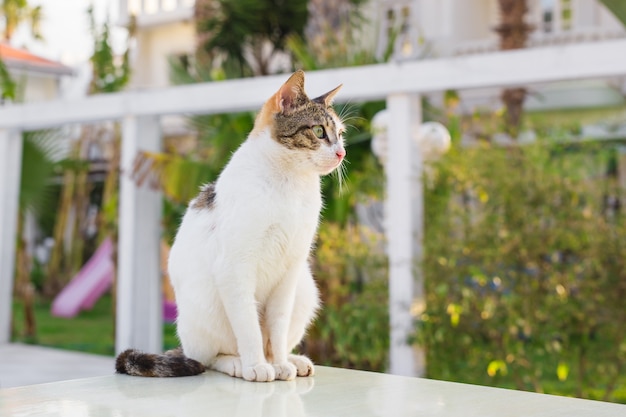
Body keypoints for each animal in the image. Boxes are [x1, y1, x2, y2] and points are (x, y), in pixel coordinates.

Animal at [114, 70, 344, 380]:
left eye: (340, 135)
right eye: (319, 132)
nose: (342, 153)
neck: (290, 185)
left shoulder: (290, 270)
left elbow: (277, 327)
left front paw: (280, 363)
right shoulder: (235, 267)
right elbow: (248, 327)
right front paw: (256, 366)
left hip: (306, 289)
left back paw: (290, 361)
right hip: (205, 306)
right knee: (207, 357)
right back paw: (238, 364)